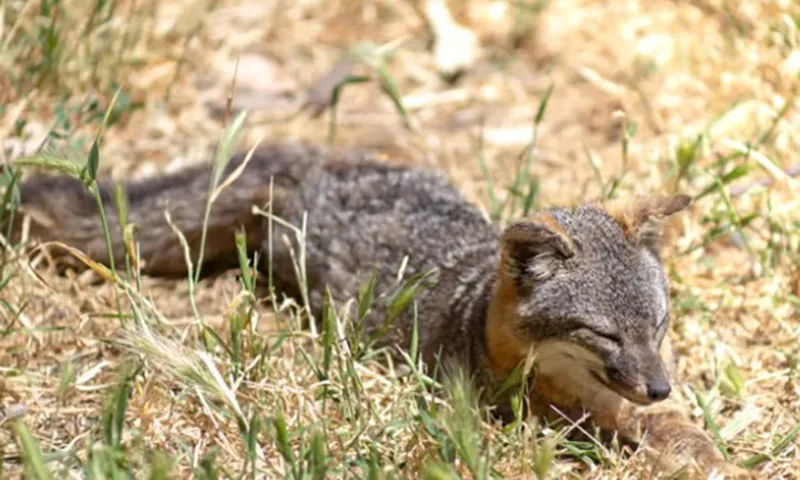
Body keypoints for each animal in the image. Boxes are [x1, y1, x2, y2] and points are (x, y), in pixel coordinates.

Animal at [4, 142, 756, 476]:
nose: (659, 385)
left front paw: (693, 440)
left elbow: (662, 427)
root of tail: (323, 163)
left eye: (658, 327)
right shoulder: (532, 413)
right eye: (603, 334)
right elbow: (610, 430)